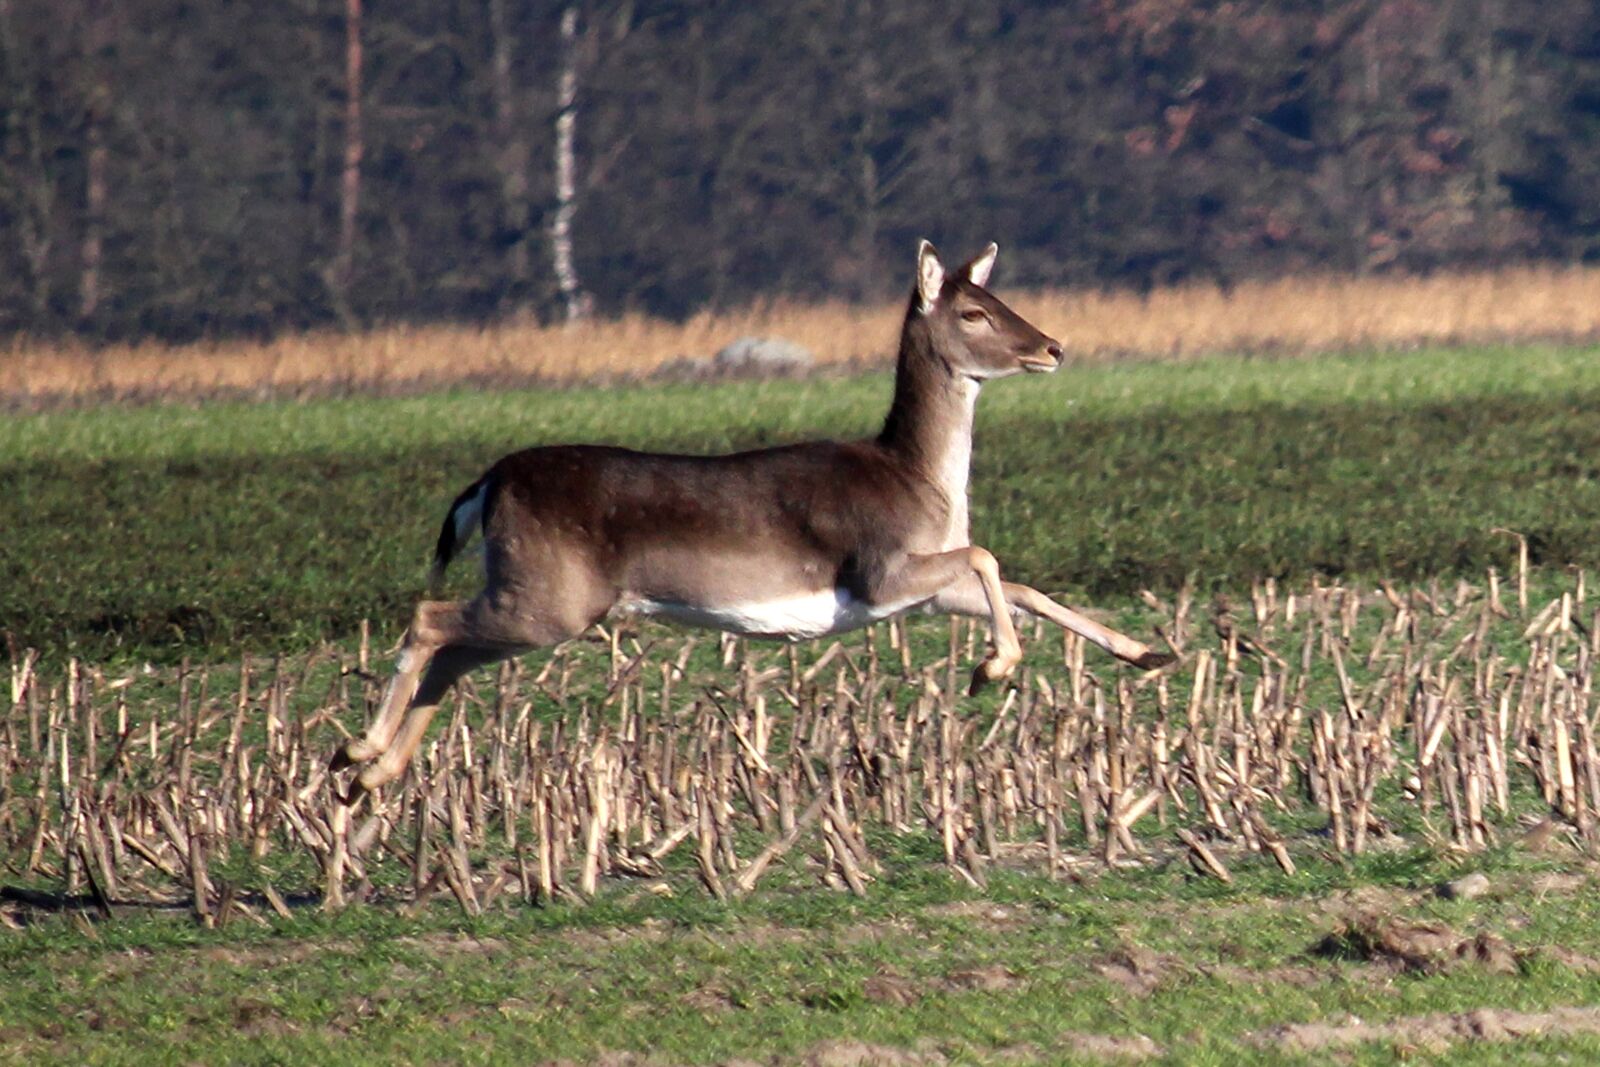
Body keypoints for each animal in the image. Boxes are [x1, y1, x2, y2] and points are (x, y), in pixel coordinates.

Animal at [332, 240, 1171, 804]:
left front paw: (1146, 651)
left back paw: (373, 773)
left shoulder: (917, 588)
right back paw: (358, 748)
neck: (919, 482)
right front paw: (993, 667)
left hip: (539, 595)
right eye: (973, 311)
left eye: (1002, 299)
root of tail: (487, 484)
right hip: (548, 594)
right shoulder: (879, 568)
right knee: (430, 615)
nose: (1053, 346)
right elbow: (990, 557)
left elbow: (1019, 585)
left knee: (451, 652)